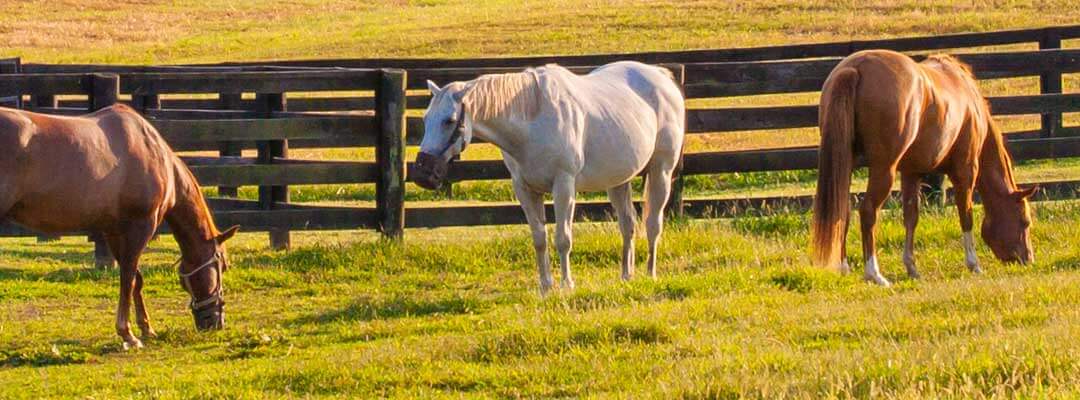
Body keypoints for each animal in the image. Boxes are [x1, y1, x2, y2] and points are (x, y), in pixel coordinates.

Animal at [0, 104, 238, 348]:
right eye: (223, 266)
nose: (215, 322)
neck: (155, 153)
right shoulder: (141, 227)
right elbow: (128, 278)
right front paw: (128, 334)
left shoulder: (114, 231)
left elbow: (136, 280)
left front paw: (146, 328)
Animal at [412, 61, 682, 294]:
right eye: (425, 119)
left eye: (449, 121)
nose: (424, 173)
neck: (534, 118)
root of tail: (660, 76)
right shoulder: (525, 189)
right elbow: (539, 238)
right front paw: (545, 285)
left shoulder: (563, 186)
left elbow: (563, 239)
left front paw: (567, 285)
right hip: (617, 181)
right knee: (628, 225)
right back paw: (626, 275)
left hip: (661, 171)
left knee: (653, 224)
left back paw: (650, 274)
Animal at [812, 49, 1036, 285]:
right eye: (1025, 221)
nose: (1028, 259)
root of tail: (856, 67)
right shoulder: (966, 171)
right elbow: (966, 216)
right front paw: (974, 264)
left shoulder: (911, 172)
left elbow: (911, 218)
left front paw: (912, 267)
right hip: (883, 169)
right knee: (868, 211)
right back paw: (874, 273)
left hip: (846, 165)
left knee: (842, 210)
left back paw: (844, 267)